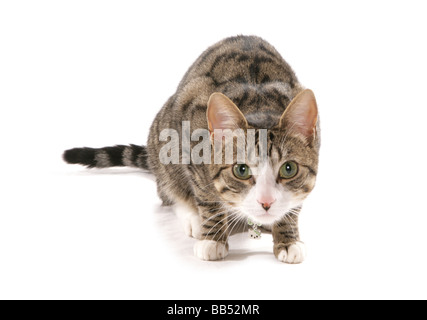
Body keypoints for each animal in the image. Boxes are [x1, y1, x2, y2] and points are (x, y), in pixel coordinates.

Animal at [61, 36, 320, 264]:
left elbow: (294, 203)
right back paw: (193, 215)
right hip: (163, 137)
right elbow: (206, 195)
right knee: (168, 190)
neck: (260, 103)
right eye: (241, 170)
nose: (266, 203)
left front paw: (288, 238)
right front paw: (213, 238)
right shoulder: (190, 135)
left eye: (288, 169)